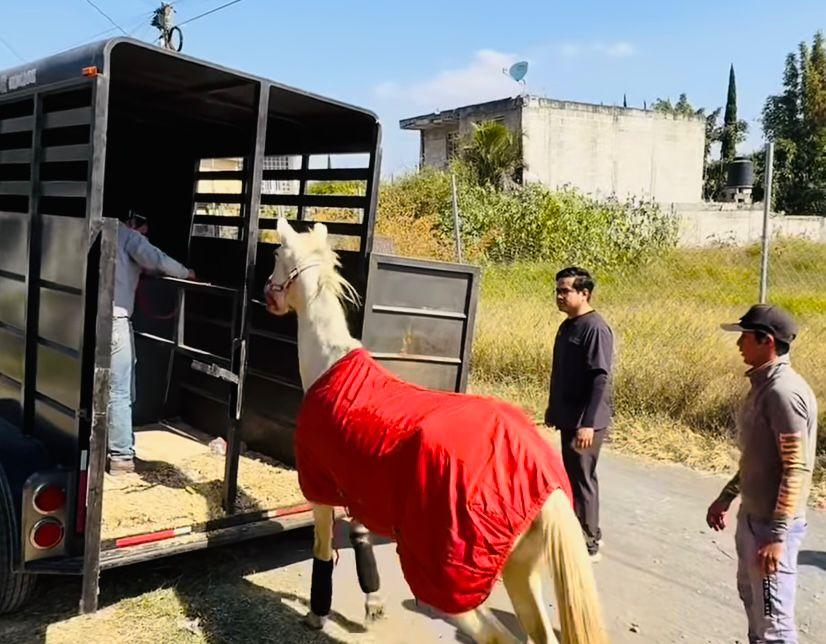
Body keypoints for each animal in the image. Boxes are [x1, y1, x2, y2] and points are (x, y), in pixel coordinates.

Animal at [263, 217, 607, 644]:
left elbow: (323, 549)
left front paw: (317, 613)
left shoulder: (320, 486)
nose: (268, 296)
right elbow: (360, 539)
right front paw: (372, 603)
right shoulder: (359, 490)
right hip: (519, 571)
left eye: (276, 254)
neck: (330, 364)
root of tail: (545, 485)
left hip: (451, 583)